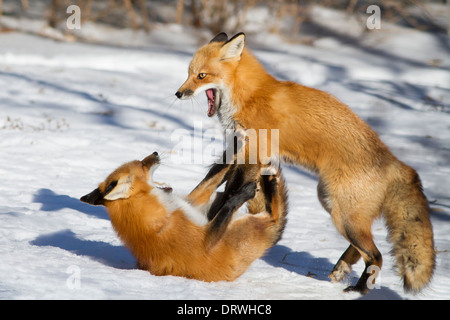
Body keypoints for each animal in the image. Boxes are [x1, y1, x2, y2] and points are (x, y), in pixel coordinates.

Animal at [81, 151, 288, 282]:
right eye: (142, 163)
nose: (155, 153)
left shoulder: (197, 210)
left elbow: (212, 179)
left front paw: (233, 148)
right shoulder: (208, 242)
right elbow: (229, 203)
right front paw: (244, 192)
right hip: (250, 226)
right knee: (274, 214)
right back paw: (270, 184)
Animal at [177, 32, 436, 296]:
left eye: (201, 76)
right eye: (189, 73)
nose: (178, 94)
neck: (249, 96)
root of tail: (392, 158)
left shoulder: (253, 154)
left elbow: (229, 191)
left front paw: (210, 223)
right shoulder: (238, 148)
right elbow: (213, 180)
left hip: (343, 215)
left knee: (376, 255)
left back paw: (359, 289)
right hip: (333, 204)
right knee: (363, 247)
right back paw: (342, 269)